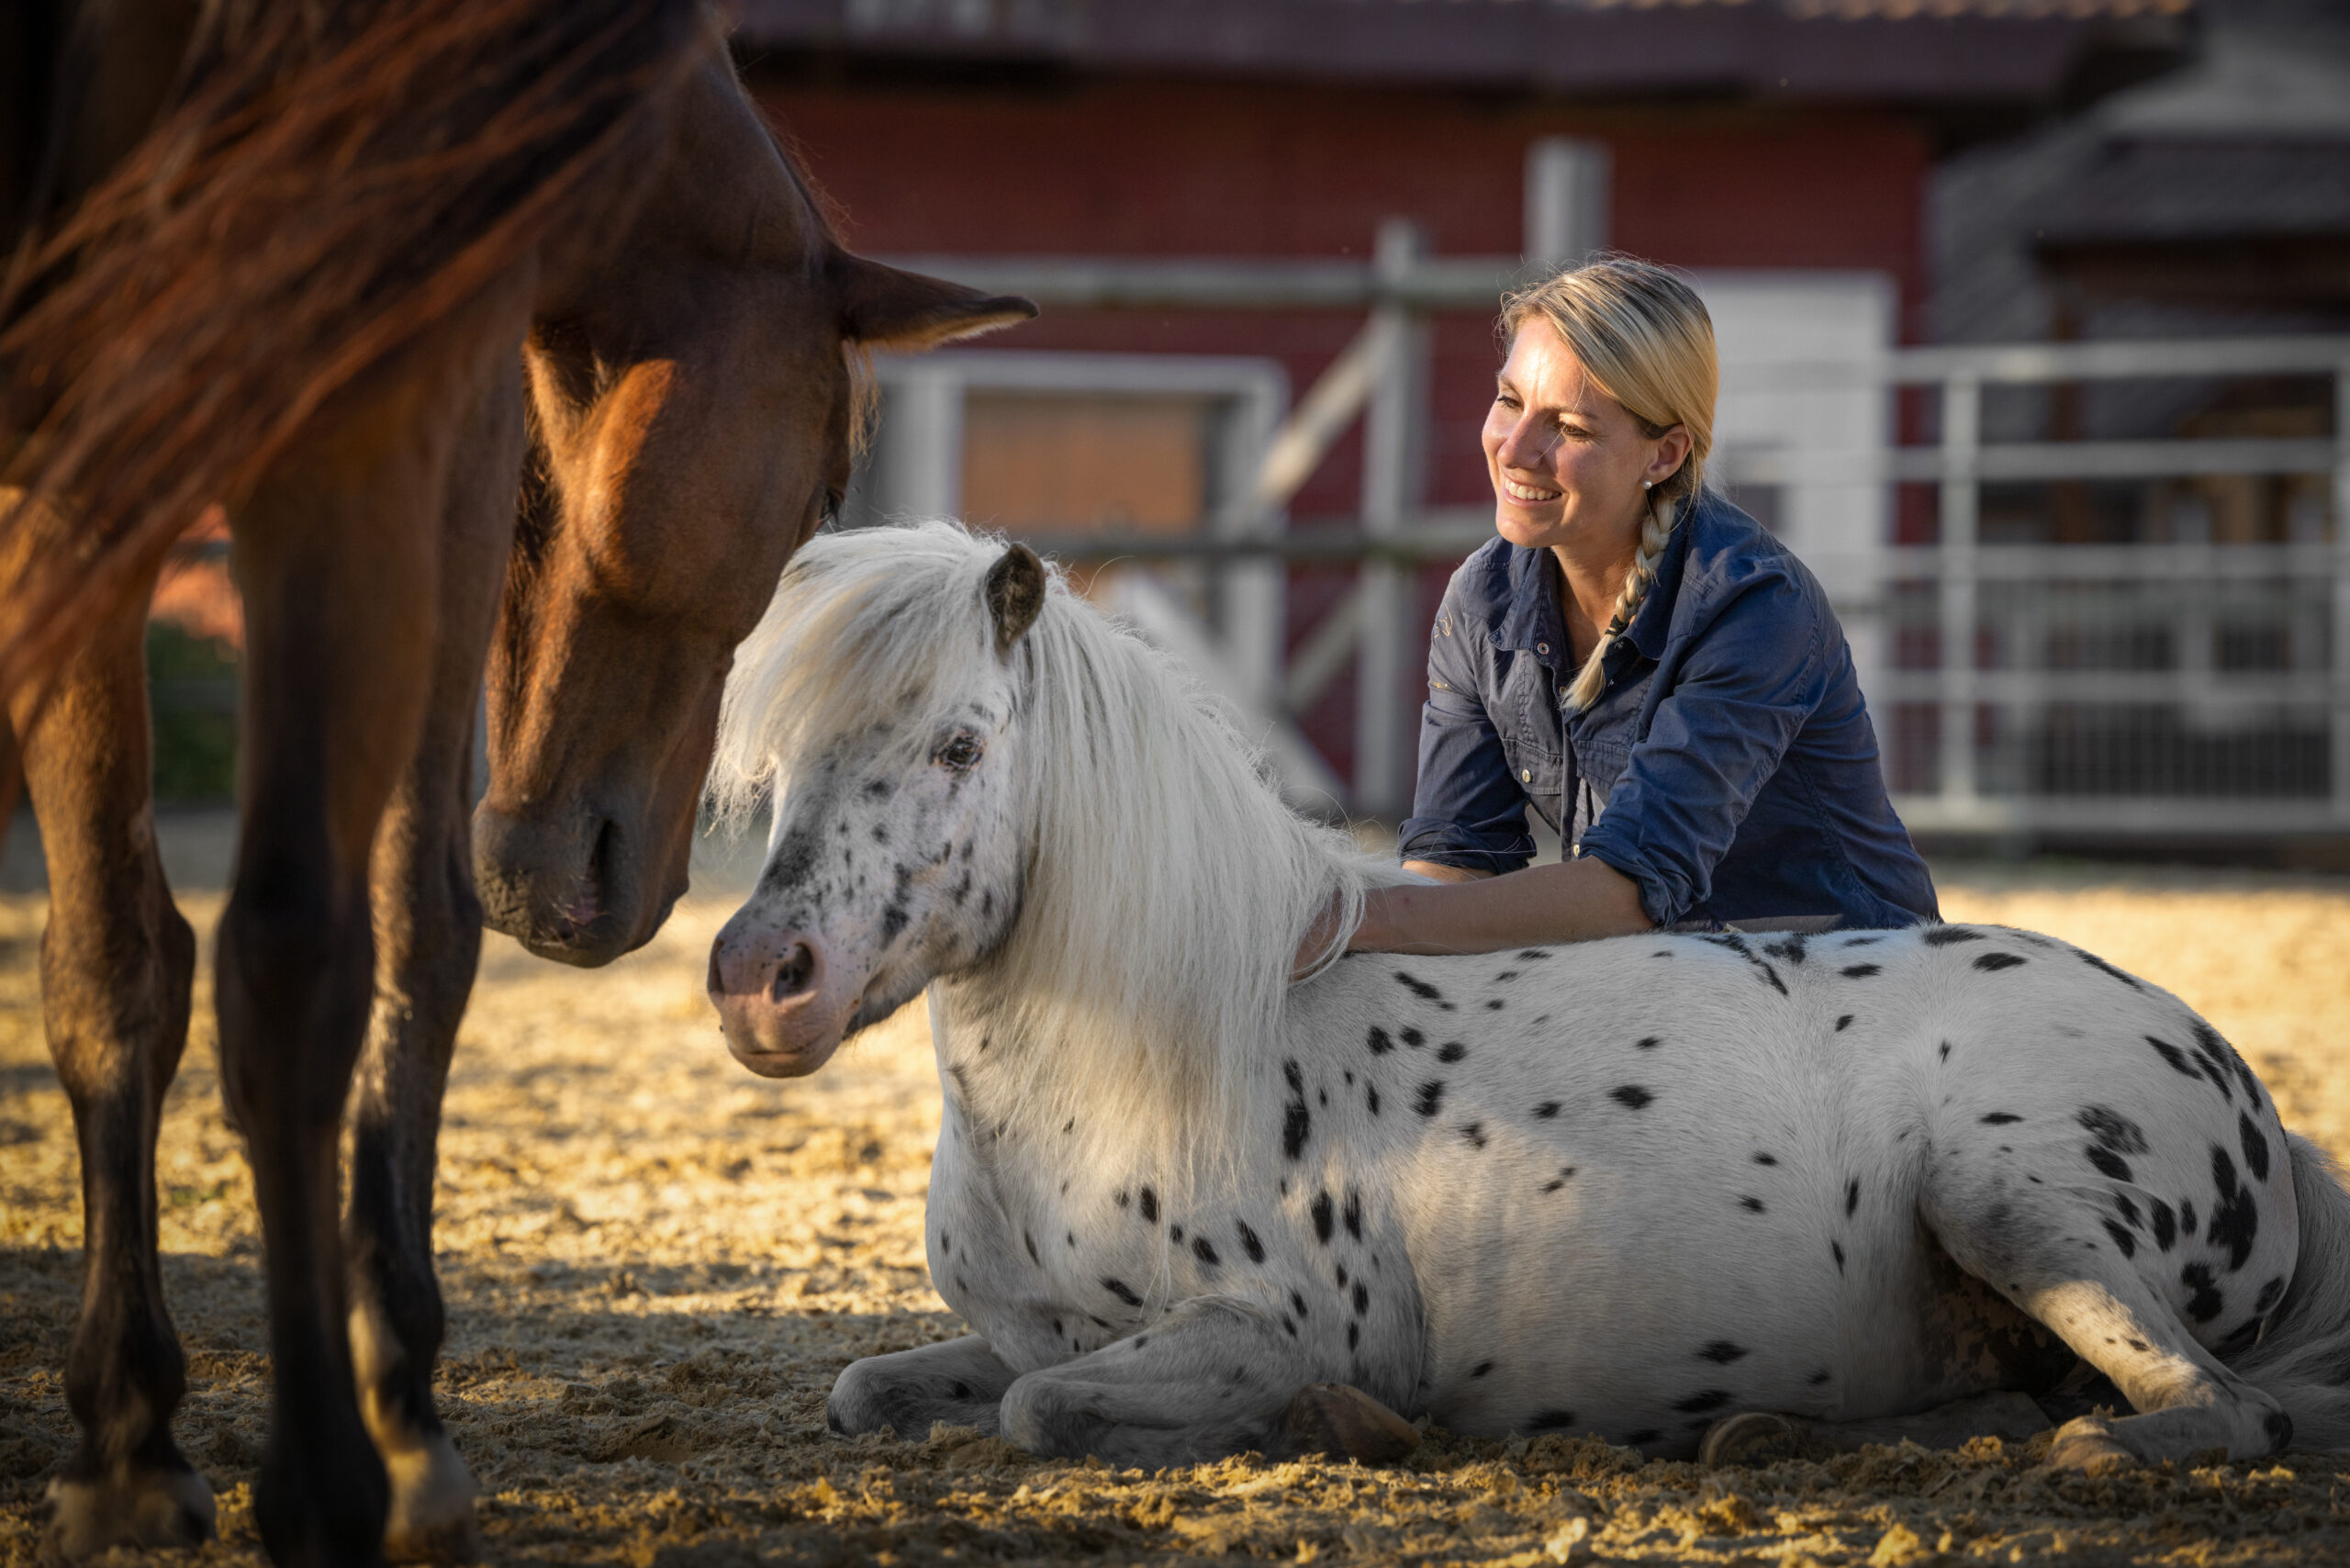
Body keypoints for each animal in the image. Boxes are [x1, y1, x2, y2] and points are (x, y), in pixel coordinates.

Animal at [3, 7, 1031, 1562]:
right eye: (821, 494)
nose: (597, 889)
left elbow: (116, 965)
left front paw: (129, 1437)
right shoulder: (394, 411)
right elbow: (356, 941)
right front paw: (365, 1440)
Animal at [703, 521, 2350, 1474]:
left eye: (962, 744)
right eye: (784, 752)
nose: (760, 984)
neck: (1137, 1065)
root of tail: (2243, 1089)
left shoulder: (1270, 1332)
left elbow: (1042, 1413)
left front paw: (1340, 1429)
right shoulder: (1024, 1334)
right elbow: (878, 1388)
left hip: (2014, 1200)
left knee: (2223, 1410)